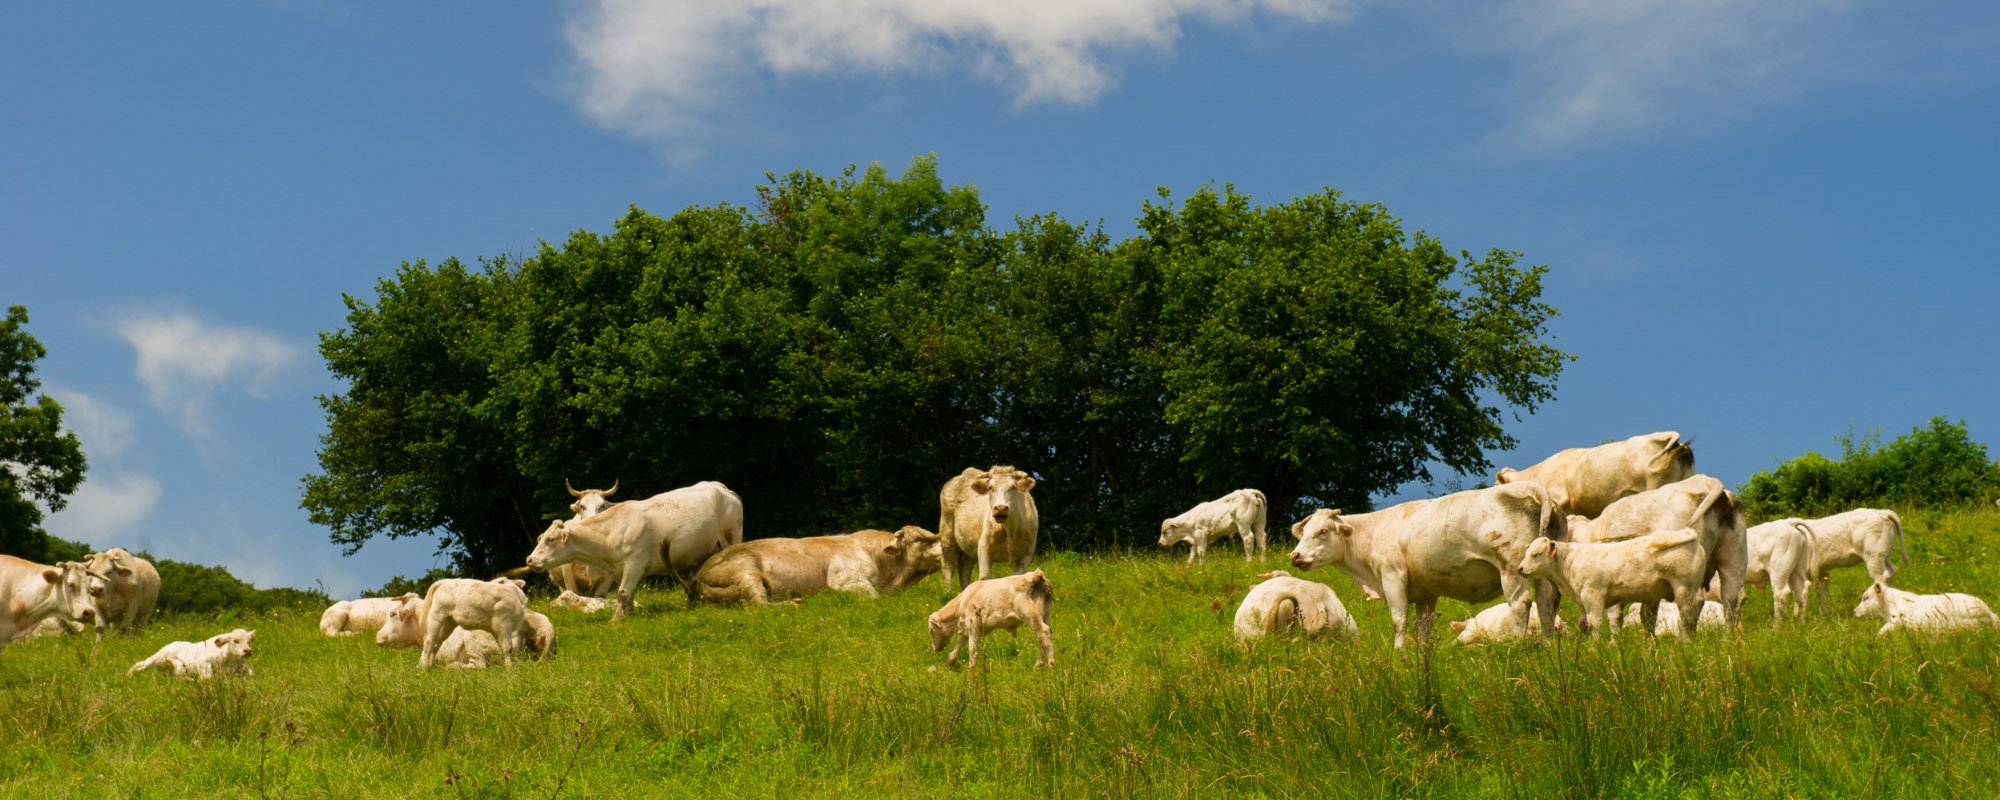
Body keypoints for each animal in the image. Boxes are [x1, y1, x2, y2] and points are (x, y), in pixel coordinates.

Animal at [525, 480, 745, 620]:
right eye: (541, 538)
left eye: (551, 539)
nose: (529, 560)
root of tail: (722, 488)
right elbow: (628, 596)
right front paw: (628, 615)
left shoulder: (635, 563)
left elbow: (623, 593)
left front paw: (615, 620)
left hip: (733, 535)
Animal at [690, 526, 942, 606]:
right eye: (920, 540)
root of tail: (699, 574)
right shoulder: (846, 581)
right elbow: (874, 598)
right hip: (746, 571)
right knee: (758, 604)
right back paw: (794, 602)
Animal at [1288, 482, 1565, 648]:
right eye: (1304, 532)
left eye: (1323, 531)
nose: (1295, 556)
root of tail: (1528, 485)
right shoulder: (1427, 592)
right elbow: (1424, 626)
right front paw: (1423, 653)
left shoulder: (1392, 577)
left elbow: (1399, 620)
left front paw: (1398, 652)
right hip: (1541, 569)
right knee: (1546, 602)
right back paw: (1547, 643)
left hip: (1510, 568)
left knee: (1520, 604)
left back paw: (1516, 645)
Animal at [1518, 529, 1708, 638]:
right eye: (1526, 553)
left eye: (1536, 554)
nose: (1519, 568)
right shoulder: (1582, 600)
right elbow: (1583, 625)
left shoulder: (1593, 594)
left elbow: (1594, 623)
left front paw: (1594, 648)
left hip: (1684, 589)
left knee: (1688, 617)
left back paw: (1684, 642)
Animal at [1563, 475, 1748, 626]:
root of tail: (1707, 481)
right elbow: (1647, 614)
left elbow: (1615, 615)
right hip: (1733, 559)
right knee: (1731, 602)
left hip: (1687, 573)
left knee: (1694, 604)